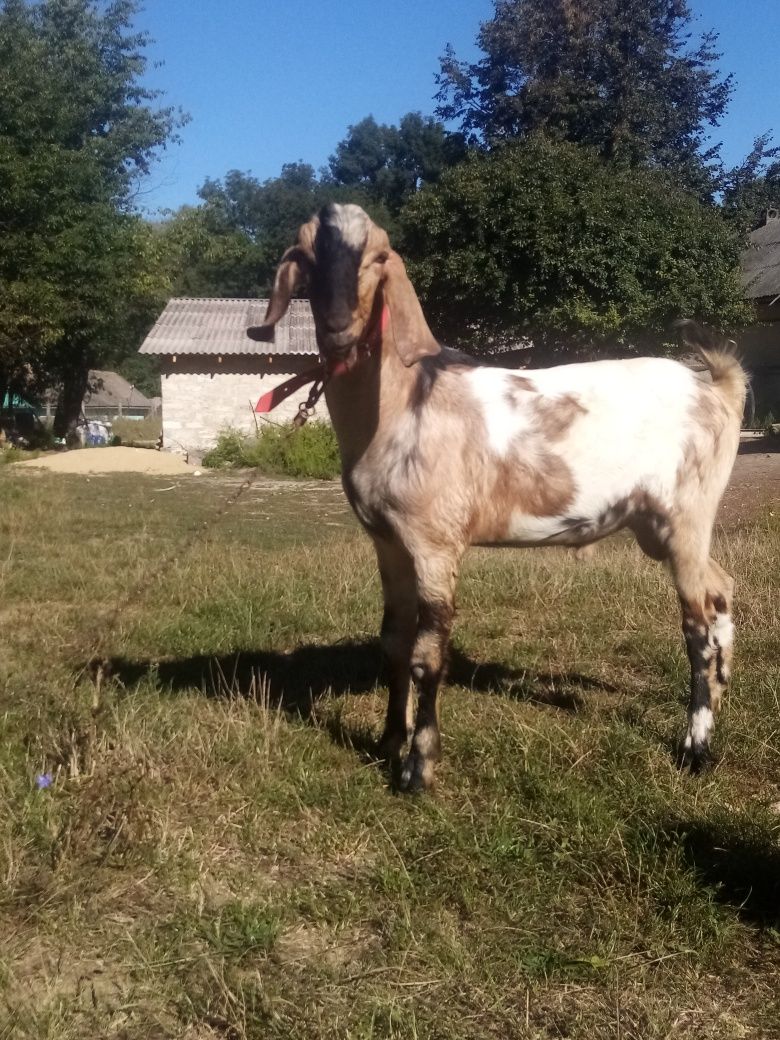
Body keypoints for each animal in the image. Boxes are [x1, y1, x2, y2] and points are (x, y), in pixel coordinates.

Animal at [250, 200, 752, 786]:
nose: (337, 327)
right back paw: (723, 687)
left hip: (686, 512)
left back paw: (697, 746)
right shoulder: (388, 542)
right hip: (660, 526)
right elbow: (393, 644)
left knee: (696, 625)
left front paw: (418, 766)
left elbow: (426, 656)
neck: (404, 403)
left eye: (377, 257)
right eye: (306, 258)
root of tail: (717, 389)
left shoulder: (436, 542)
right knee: (721, 589)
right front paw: (388, 741)